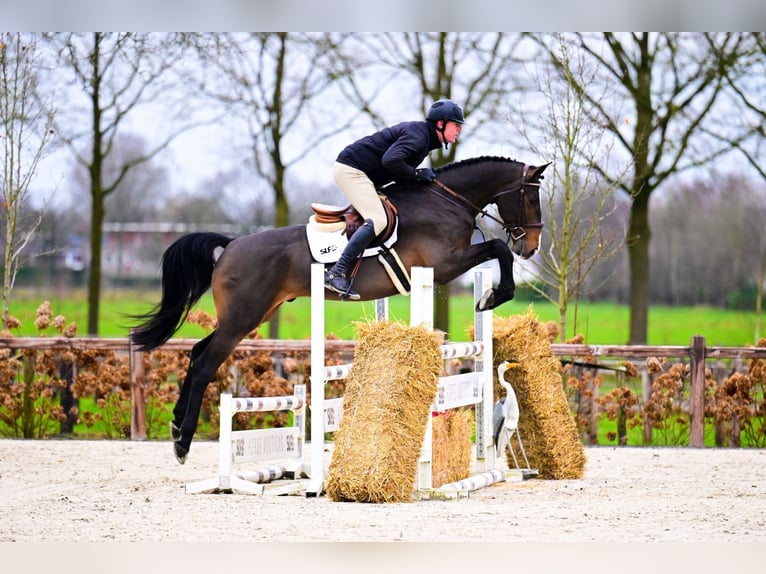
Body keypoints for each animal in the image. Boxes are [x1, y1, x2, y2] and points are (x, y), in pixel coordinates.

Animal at [134, 154, 552, 464]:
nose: (530, 246)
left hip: (251, 316)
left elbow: (495, 251)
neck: (447, 202)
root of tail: (232, 245)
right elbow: (496, 249)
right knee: (206, 364)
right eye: (530, 198)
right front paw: (494, 296)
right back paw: (182, 443)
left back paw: (176, 426)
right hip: (242, 319)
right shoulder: (445, 264)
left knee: (196, 353)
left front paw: (492, 295)